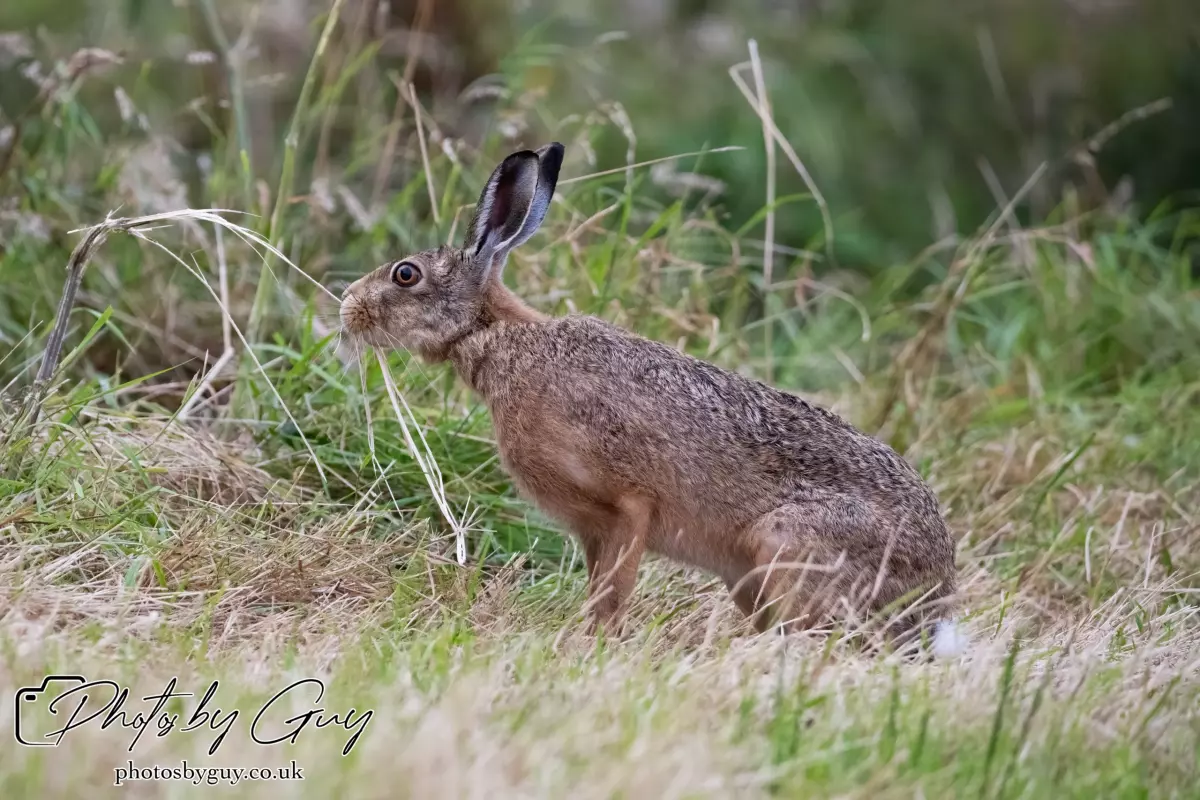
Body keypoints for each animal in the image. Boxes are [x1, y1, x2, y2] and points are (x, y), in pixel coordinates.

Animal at [340, 142, 957, 642]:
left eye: (405, 274)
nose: (347, 305)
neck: (501, 338)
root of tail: (936, 597)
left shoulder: (626, 506)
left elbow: (613, 591)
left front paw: (594, 646)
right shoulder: (591, 529)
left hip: (788, 544)